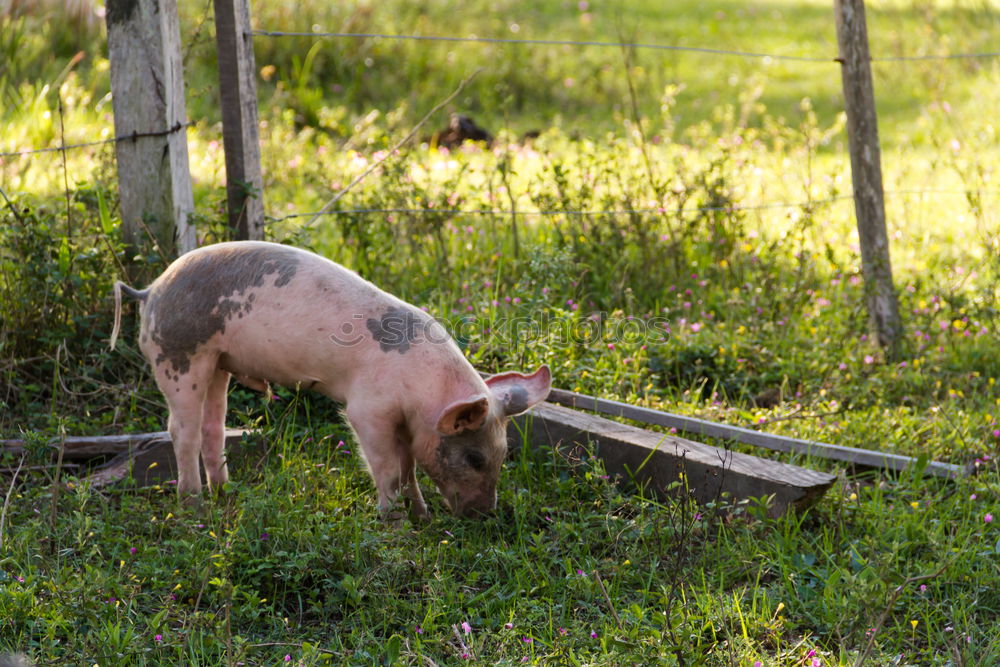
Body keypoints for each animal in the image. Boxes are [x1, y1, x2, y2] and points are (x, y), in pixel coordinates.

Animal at [112, 243, 552, 520]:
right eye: (475, 457)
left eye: (503, 454)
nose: (485, 515)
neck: (424, 396)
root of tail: (151, 290)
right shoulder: (368, 411)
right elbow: (389, 469)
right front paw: (395, 523)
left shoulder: (407, 425)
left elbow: (410, 468)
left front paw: (423, 516)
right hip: (180, 355)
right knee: (180, 429)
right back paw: (195, 506)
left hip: (219, 362)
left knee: (213, 426)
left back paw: (227, 493)